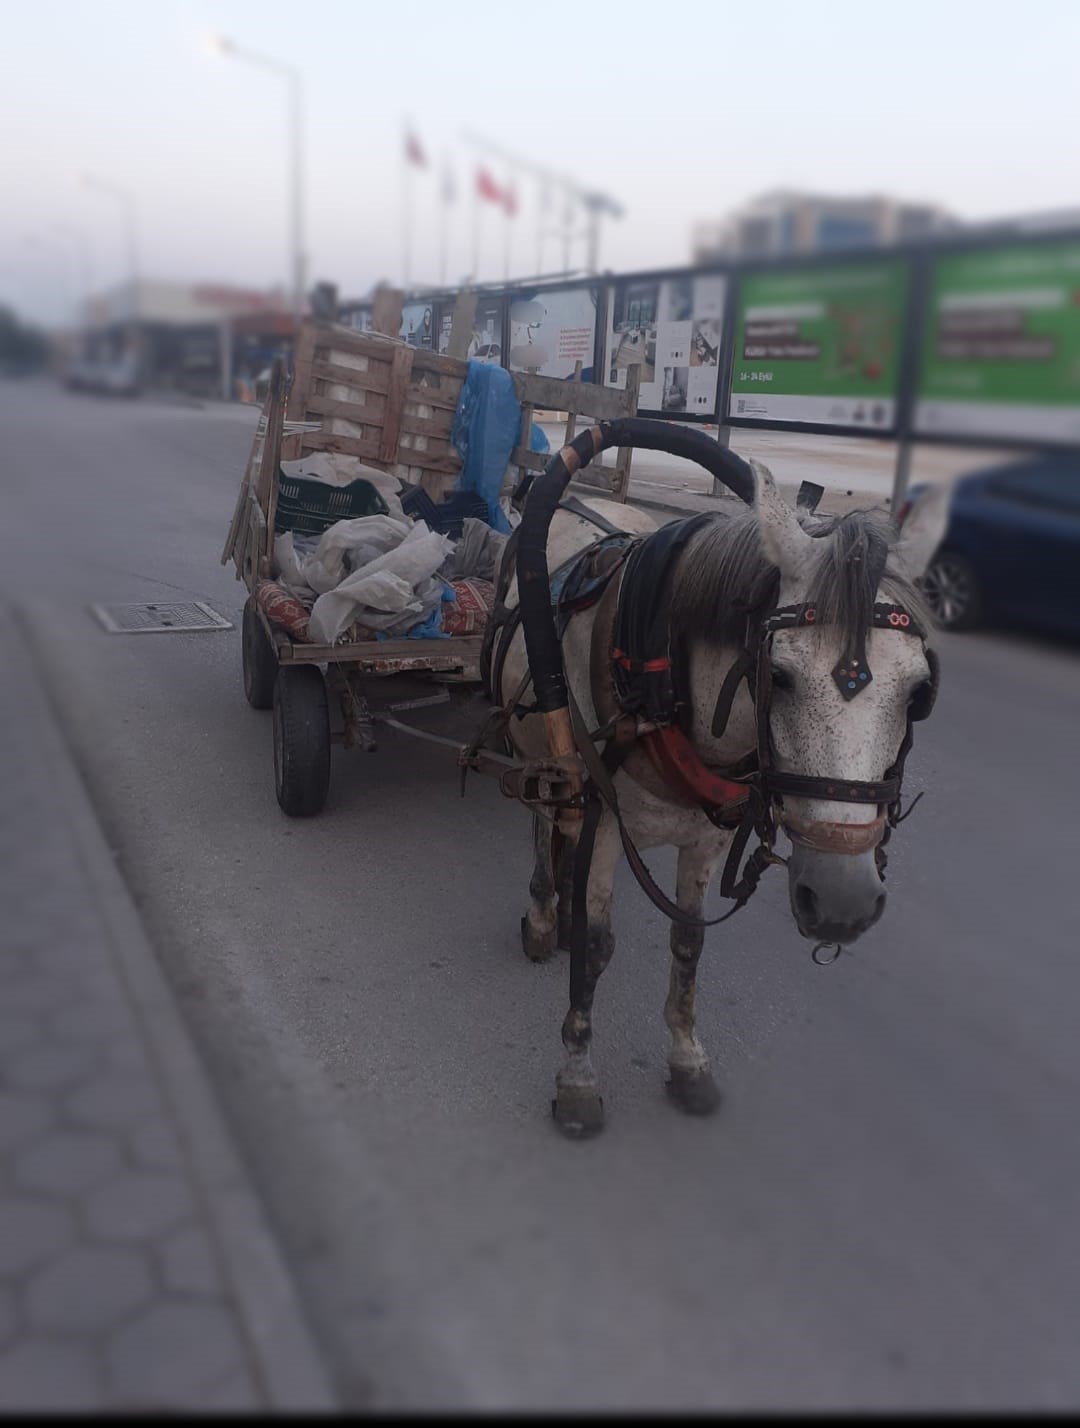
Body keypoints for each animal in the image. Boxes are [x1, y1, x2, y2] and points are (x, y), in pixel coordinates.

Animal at [494, 459, 942, 1136]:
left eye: (919, 694)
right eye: (778, 677)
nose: (843, 902)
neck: (658, 677)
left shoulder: (706, 839)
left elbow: (690, 943)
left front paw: (686, 1062)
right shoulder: (606, 823)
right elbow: (598, 949)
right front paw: (577, 1076)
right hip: (541, 758)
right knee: (546, 822)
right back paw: (548, 916)